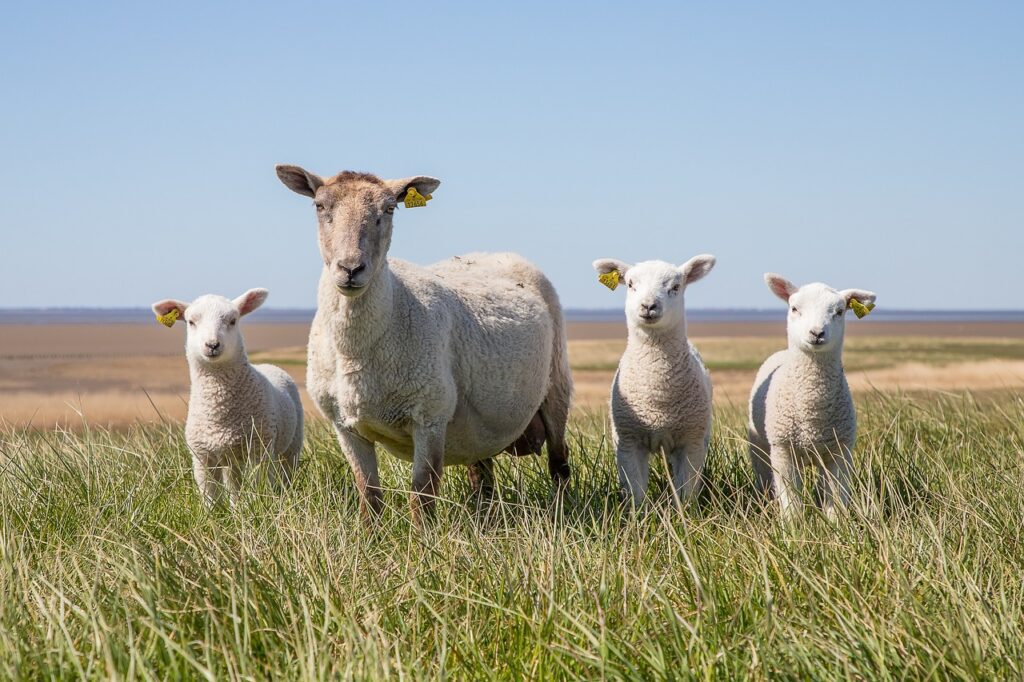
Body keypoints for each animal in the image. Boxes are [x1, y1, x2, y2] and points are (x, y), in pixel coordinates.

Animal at [150, 286, 303, 503]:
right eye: (191, 322)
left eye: (233, 320)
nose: (212, 345)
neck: (219, 412)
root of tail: (268, 364)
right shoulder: (202, 457)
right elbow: (210, 497)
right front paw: (215, 512)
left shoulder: (259, 449)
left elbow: (259, 486)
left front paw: (258, 505)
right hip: (230, 458)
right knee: (234, 485)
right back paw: (236, 506)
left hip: (291, 445)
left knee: (286, 473)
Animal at [276, 164, 573, 520]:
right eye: (320, 206)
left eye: (390, 209)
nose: (350, 268)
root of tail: (495, 253)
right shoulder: (345, 426)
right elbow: (369, 495)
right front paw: (370, 532)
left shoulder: (429, 416)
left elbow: (422, 495)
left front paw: (423, 535)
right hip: (479, 427)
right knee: (482, 475)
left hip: (556, 385)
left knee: (559, 463)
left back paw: (561, 514)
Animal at [589, 254, 716, 503]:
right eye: (630, 284)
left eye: (675, 287)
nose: (648, 306)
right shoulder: (627, 442)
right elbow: (635, 492)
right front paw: (638, 514)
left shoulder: (691, 441)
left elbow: (686, 492)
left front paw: (685, 513)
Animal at [749, 270, 876, 516]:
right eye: (794, 308)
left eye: (839, 312)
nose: (817, 333)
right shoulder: (783, 452)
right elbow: (791, 502)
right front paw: (793, 525)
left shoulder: (840, 452)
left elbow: (835, 499)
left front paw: (836, 524)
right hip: (760, 446)